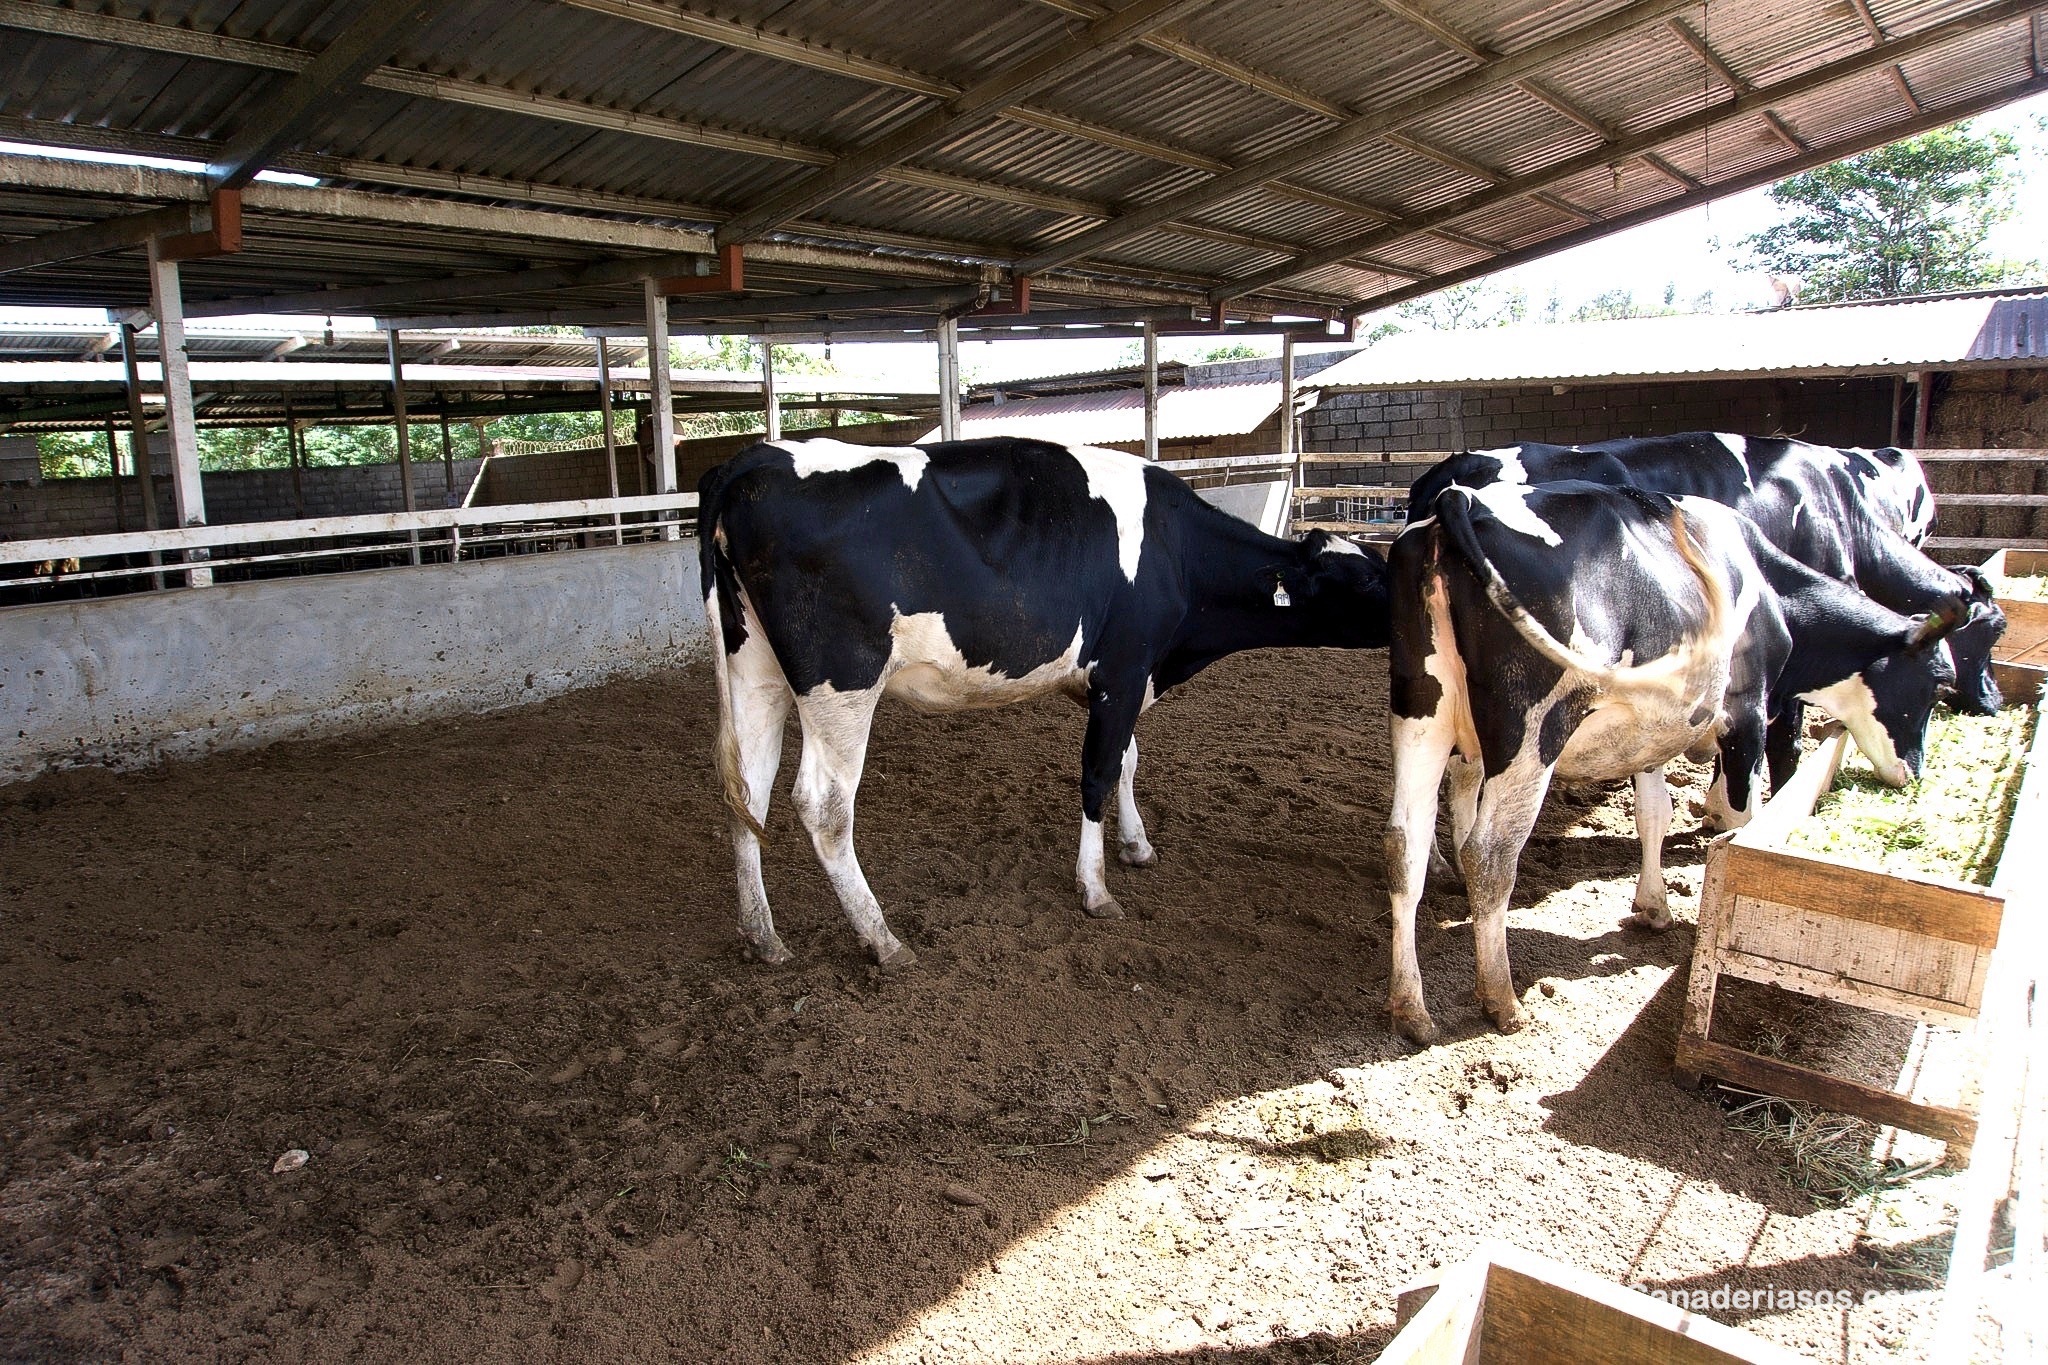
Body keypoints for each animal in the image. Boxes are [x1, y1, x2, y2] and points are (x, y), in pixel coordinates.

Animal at [700, 444, 1392, 965]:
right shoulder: (1123, 671)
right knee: (823, 806)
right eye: (1365, 578)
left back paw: (763, 935)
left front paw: (1136, 846)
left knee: (747, 790)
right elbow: (1098, 774)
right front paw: (1096, 889)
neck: (1179, 557)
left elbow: (1129, 761)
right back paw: (882, 938)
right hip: (841, 683)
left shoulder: (1121, 680)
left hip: (754, 669)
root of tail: (752, 461)